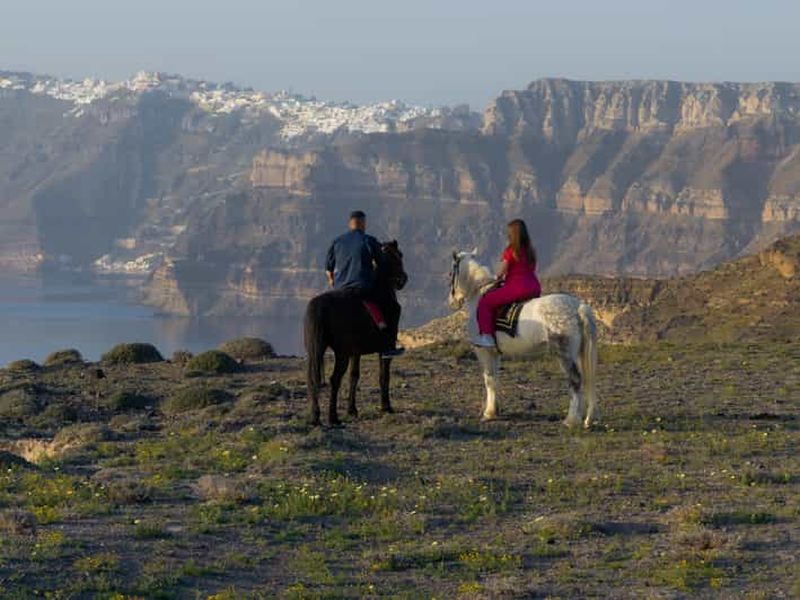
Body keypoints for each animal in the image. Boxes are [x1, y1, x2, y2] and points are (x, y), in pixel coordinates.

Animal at [304, 241, 408, 426]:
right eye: (398, 256)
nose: (403, 279)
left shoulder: (355, 352)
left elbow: (354, 376)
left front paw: (352, 410)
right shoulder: (385, 349)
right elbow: (384, 376)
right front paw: (386, 407)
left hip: (316, 350)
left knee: (313, 378)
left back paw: (315, 416)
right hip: (341, 353)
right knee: (334, 379)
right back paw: (333, 417)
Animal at [448, 250, 599, 428]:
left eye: (452, 272)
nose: (452, 302)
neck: (479, 294)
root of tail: (578, 307)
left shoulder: (483, 350)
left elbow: (489, 379)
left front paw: (488, 413)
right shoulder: (495, 353)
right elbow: (495, 379)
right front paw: (495, 410)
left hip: (565, 355)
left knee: (575, 381)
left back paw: (571, 420)